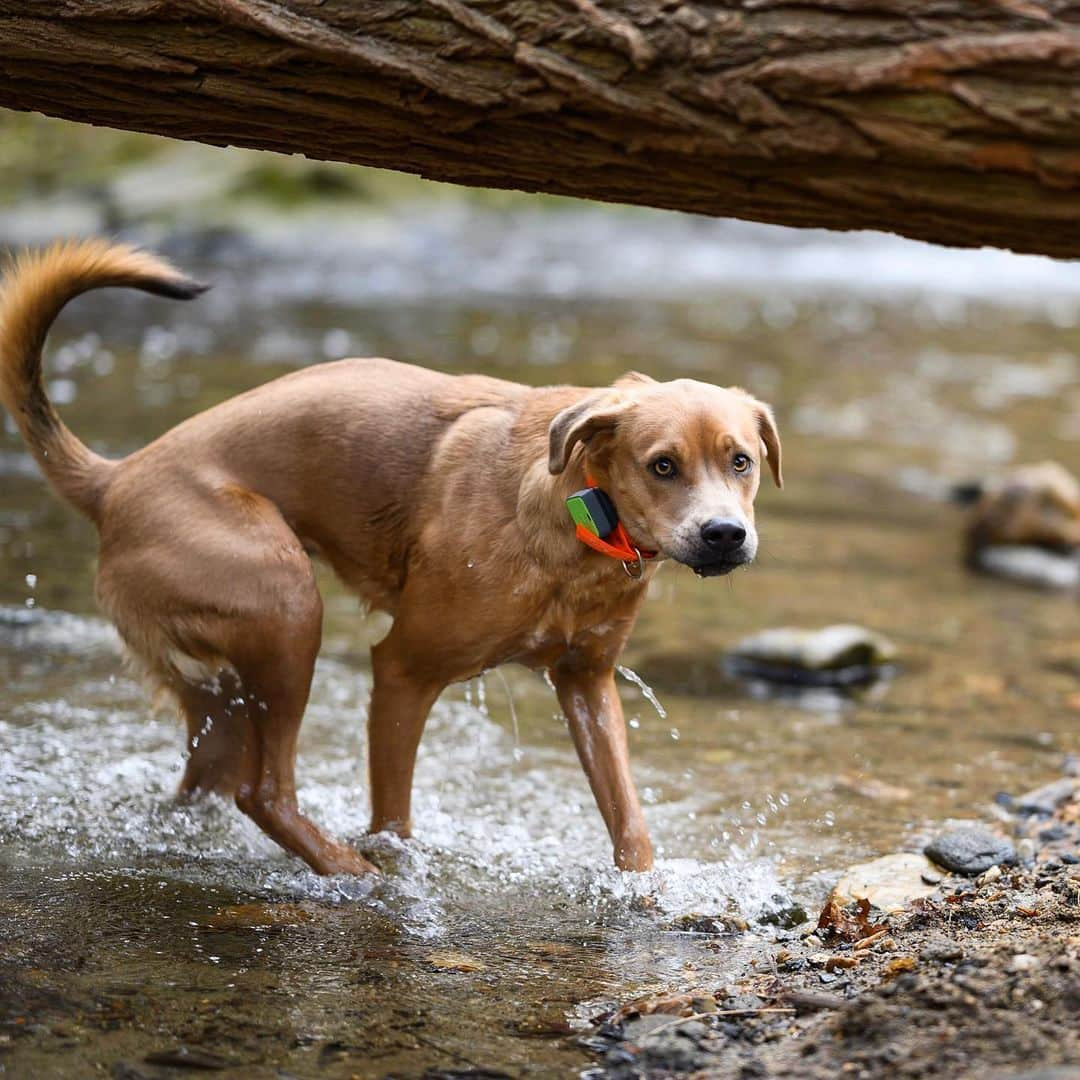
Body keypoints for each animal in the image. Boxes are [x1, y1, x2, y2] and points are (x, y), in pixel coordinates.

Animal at [0, 238, 781, 876]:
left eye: (741, 461)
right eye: (661, 466)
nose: (724, 534)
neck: (574, 519)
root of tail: (115, 479)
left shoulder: (587, 683)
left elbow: (630, 824)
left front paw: (647, 897)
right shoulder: (404, 670)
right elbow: (394, 819)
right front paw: (395, 868)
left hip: (221, 692)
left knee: (209, 785)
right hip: (288, 610)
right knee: (264, 791)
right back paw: (348, 873)